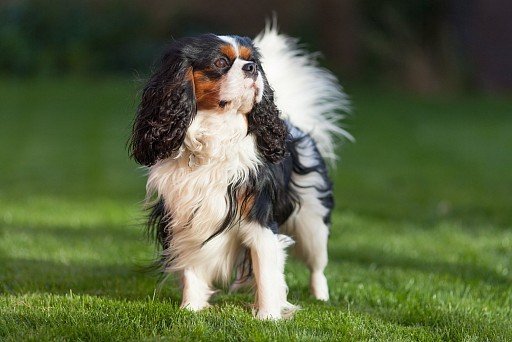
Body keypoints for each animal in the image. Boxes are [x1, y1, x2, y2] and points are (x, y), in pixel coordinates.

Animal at [130, 24, 350, 320]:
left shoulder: (259, 219)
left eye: (252, 60)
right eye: (220, 62)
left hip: (312, 222)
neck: (217, 133)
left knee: (318, 266)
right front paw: (191, 309)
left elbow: (266, 273)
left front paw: (268, 317)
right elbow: (192, 268)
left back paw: (321, 297)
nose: (251, 68)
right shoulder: (186, 216)